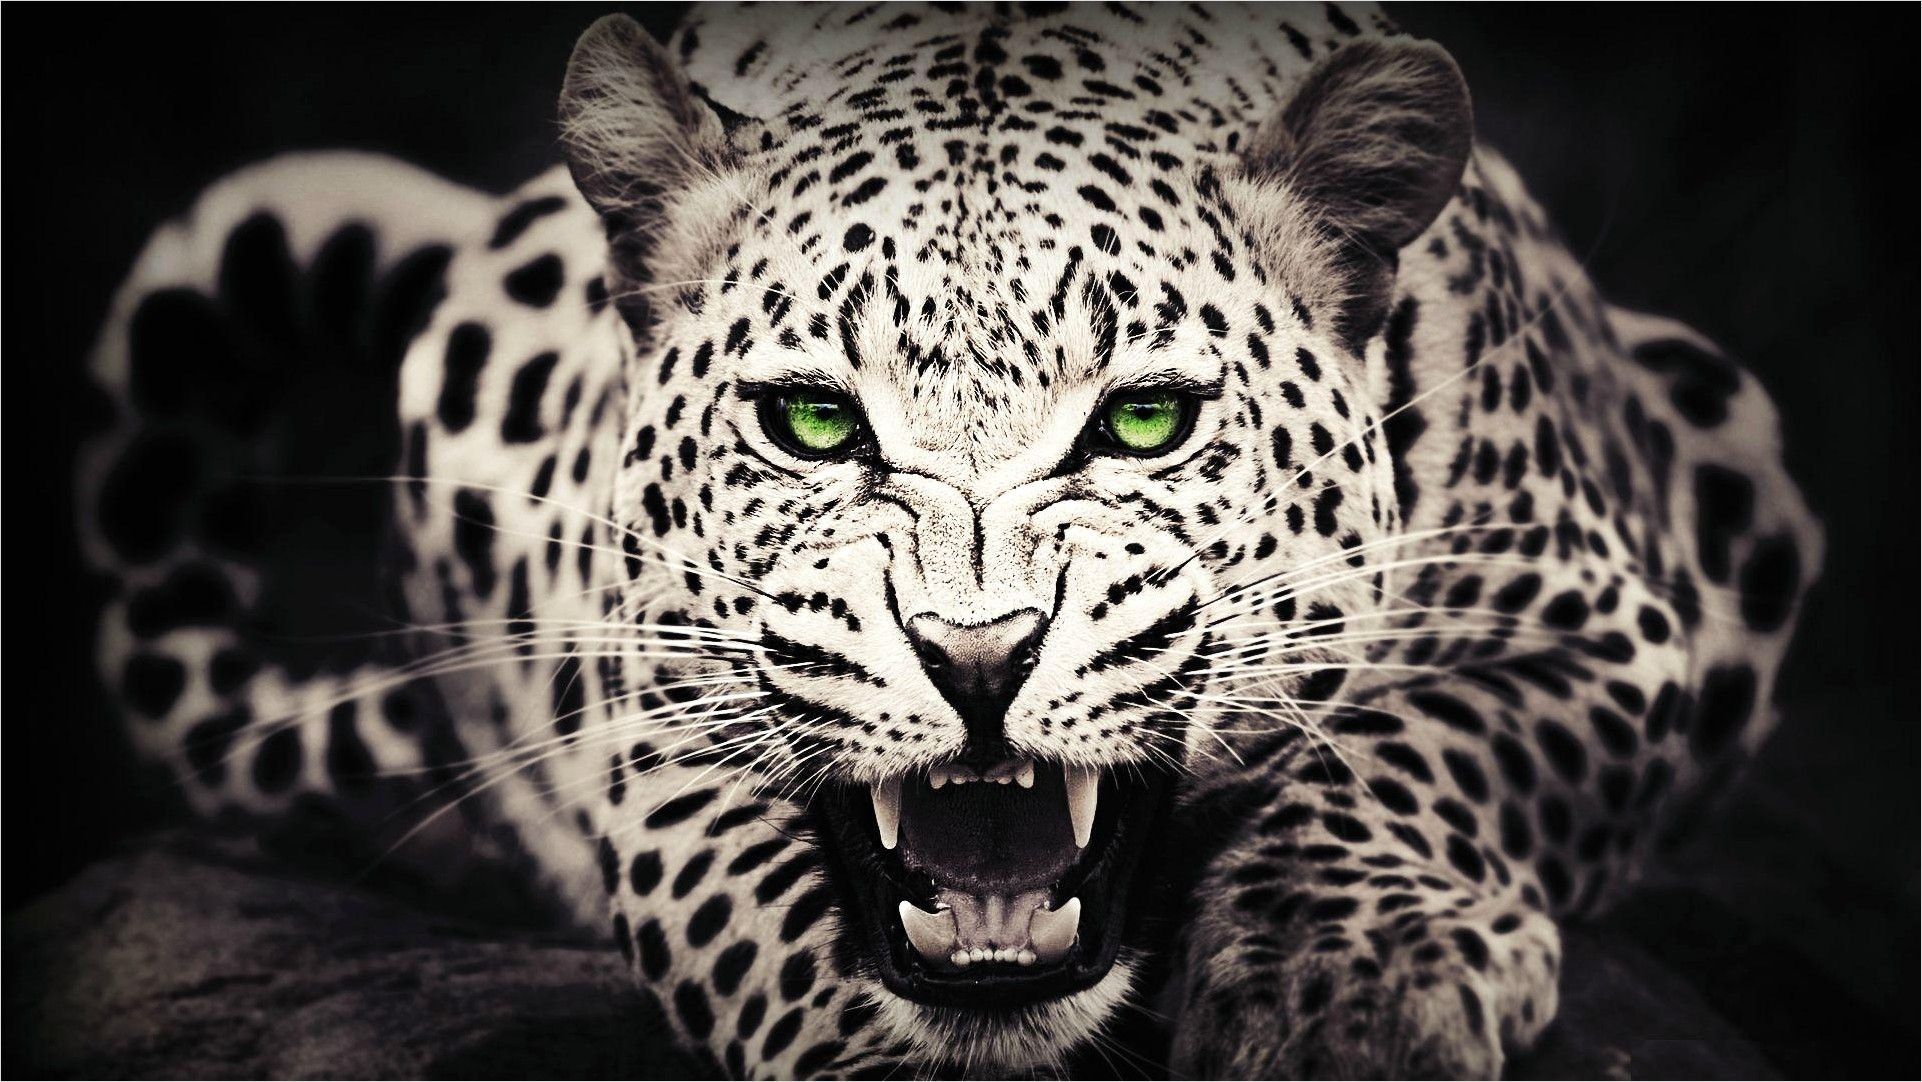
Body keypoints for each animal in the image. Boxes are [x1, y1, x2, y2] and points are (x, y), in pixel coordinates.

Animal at [76, 3, 1822, 1077]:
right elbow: (758, 914)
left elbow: (1427, 746)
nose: (976, 657)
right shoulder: (653, 716)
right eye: (811, 421)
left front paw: (1350, 989)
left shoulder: (1604, 620)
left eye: (1142, 421)